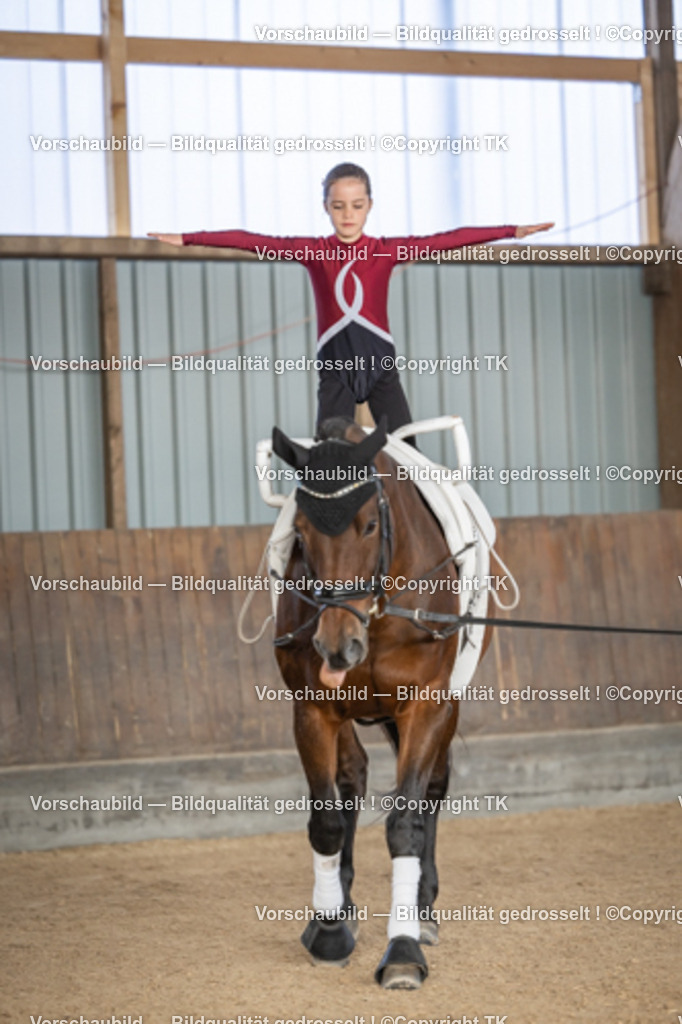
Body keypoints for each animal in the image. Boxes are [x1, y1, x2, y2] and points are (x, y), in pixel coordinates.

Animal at [271, 414, 494, 989]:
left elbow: (406, 822)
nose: (337, 645)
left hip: (446, 705)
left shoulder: (427, 704)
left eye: (370, 525)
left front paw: (403, 949)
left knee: (433, 788)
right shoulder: (312, 708)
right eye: (300, 533)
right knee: (352, 777)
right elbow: (326, 819)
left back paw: (425, 910)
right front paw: (329, 932)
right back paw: (340, 907)